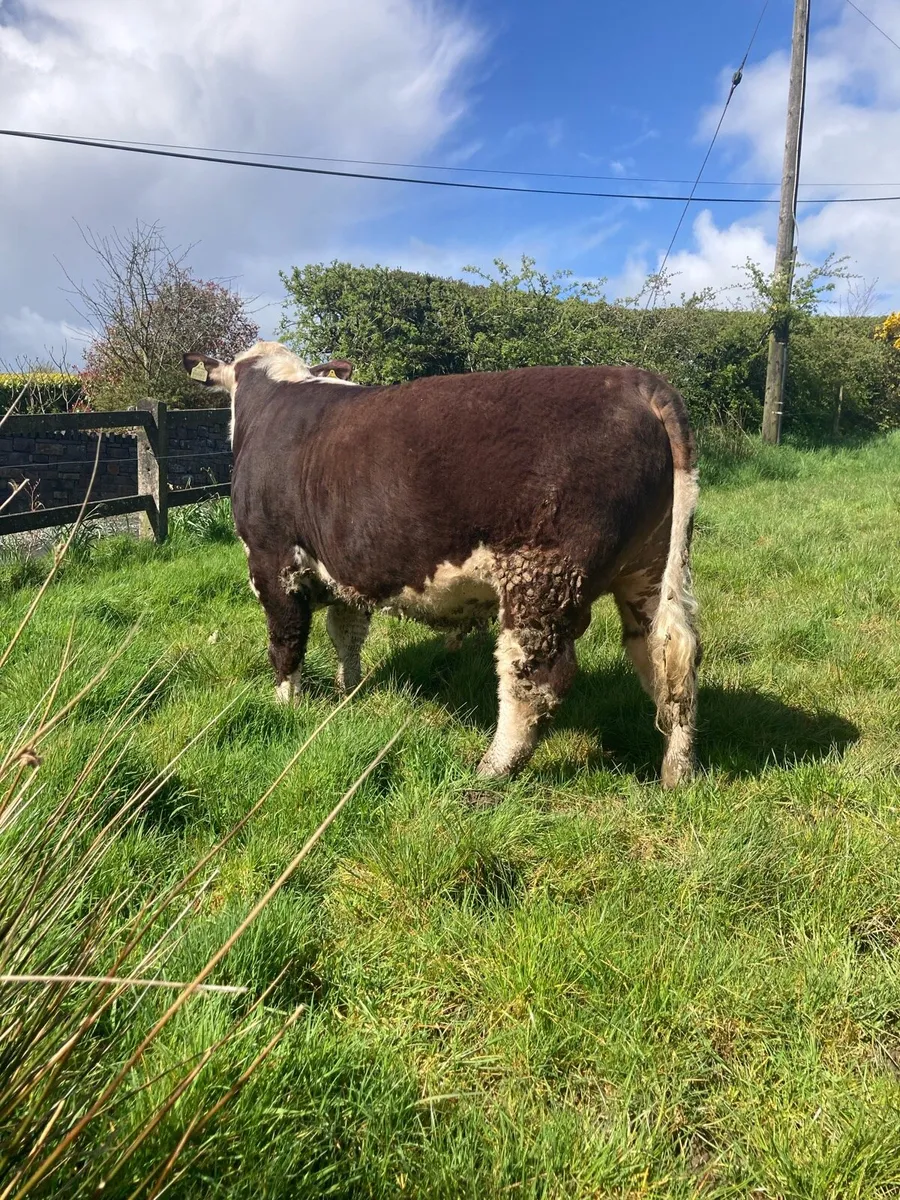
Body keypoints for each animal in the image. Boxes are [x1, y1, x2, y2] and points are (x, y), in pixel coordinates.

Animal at [183, 341, 700, 787]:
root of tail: (639, 381)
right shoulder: (345, 566)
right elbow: (345, 633)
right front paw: (347, 692)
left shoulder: (271, 558)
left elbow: (286, 641)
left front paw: (286, 706)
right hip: (651, 570)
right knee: (668, 658)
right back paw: (676, 773)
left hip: (542, 578)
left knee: (534, 680)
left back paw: (490, 771)